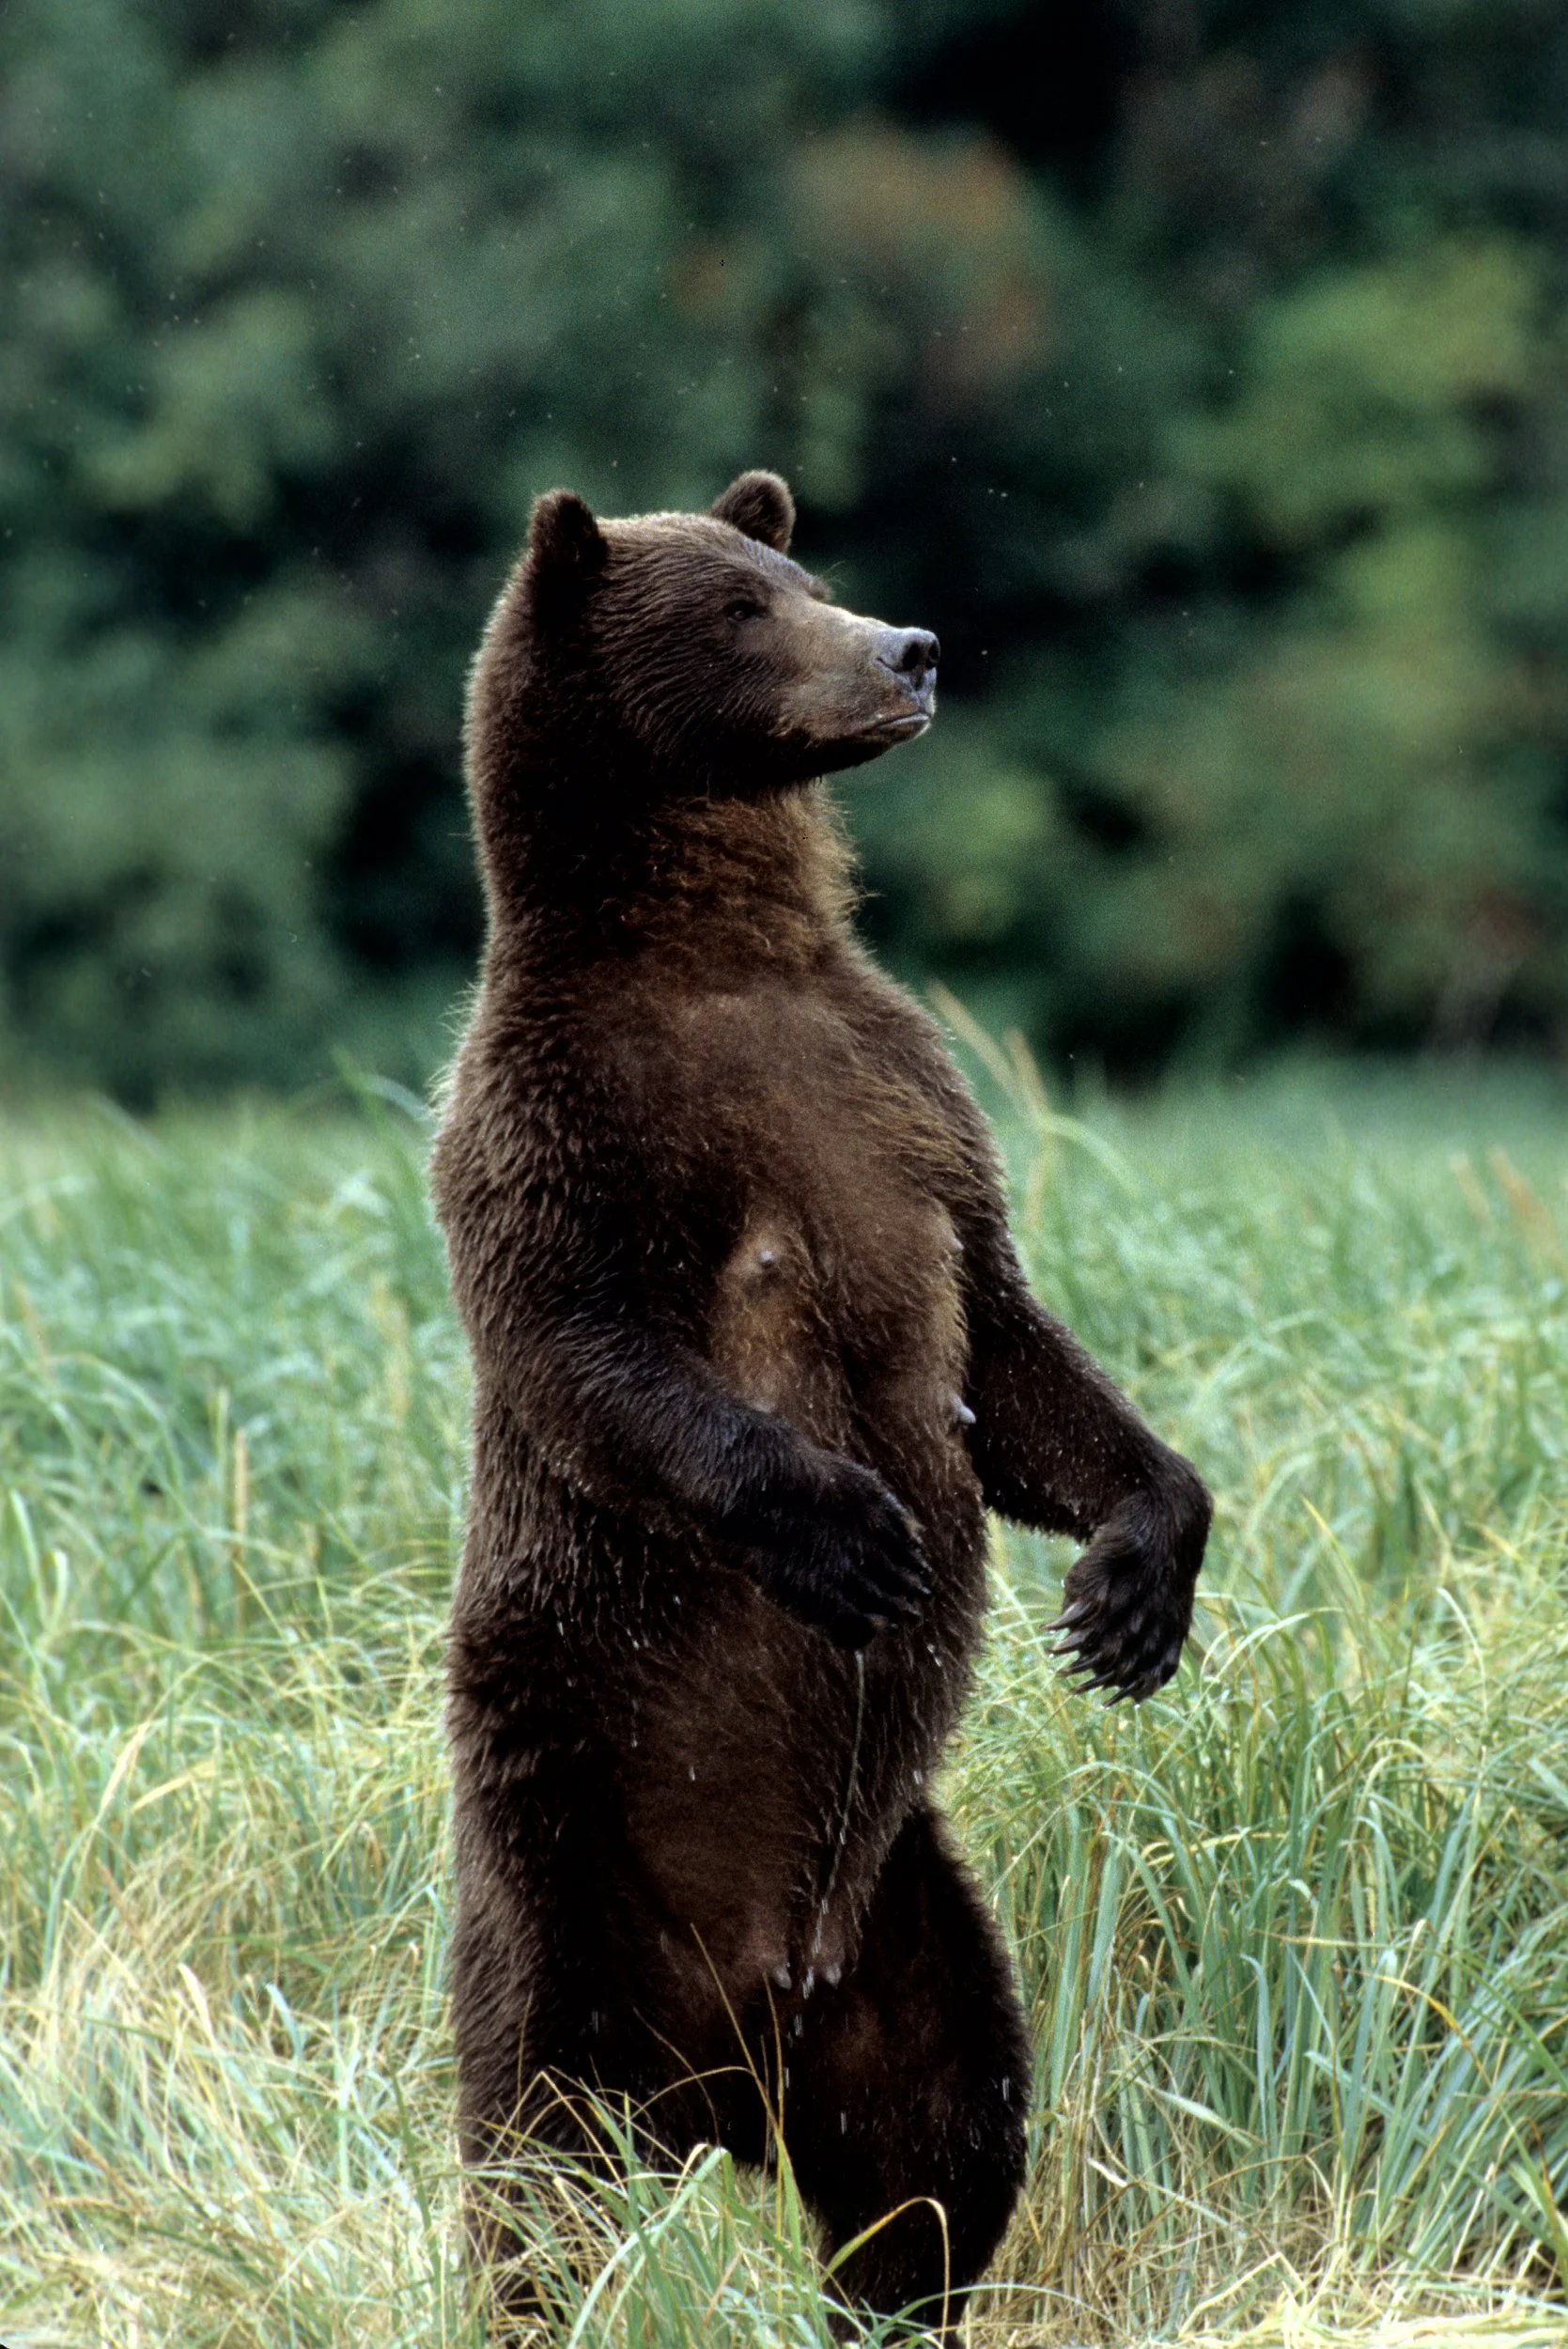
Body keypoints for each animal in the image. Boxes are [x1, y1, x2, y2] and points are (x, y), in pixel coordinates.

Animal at [430, 469, 1211, 2334]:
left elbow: (1007, 1354)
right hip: (563, 1856)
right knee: (534, 2165)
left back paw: (894, 2292)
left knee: (944, 2148)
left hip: (905, 1923)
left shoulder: (897, 1101)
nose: (909, 646)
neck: (713, 950)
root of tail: (726, 2066)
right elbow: (593, 1353)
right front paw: (850, 1532)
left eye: (802, 569)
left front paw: (1130, 1591)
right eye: (738, 609)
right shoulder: (560, 1124)